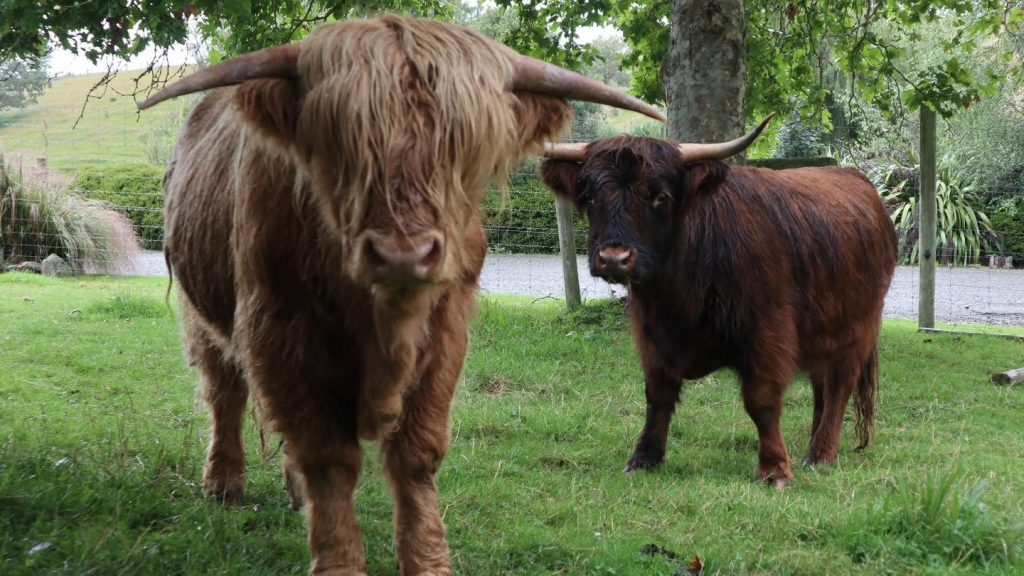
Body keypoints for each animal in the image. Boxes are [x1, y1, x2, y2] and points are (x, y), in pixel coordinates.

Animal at [139, 15, 663, 575]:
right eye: (339, 145)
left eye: (465, 149)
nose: (403, 254)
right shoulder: (277, 331)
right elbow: (327, 458)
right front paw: (339, 560)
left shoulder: (446, 334)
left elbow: (416, 455)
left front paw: (428, 560)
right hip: (200, 313)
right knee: (224, 390)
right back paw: (222, 482)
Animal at [539, 117, 897, 488]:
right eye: (590, 196)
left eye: (661, 196)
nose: (613, 259)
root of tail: (856, 179)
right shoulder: (651, 336)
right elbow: (658, 395)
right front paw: (644, 458)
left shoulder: (767, 334)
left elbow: (762, 401)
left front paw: (775, 469)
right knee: (821, 386)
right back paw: (815, 441)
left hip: (858, 329)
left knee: (839, 385)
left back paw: (822, 452)